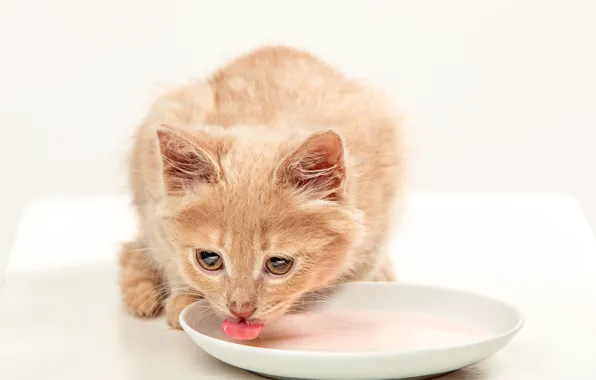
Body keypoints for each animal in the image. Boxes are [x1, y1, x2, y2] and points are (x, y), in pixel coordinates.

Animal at [118, 45, 408, 336]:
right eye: (209, 259)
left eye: (278, 264)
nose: (240, 309)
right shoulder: (152, 202)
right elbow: (171, 259)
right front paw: (186, 298)